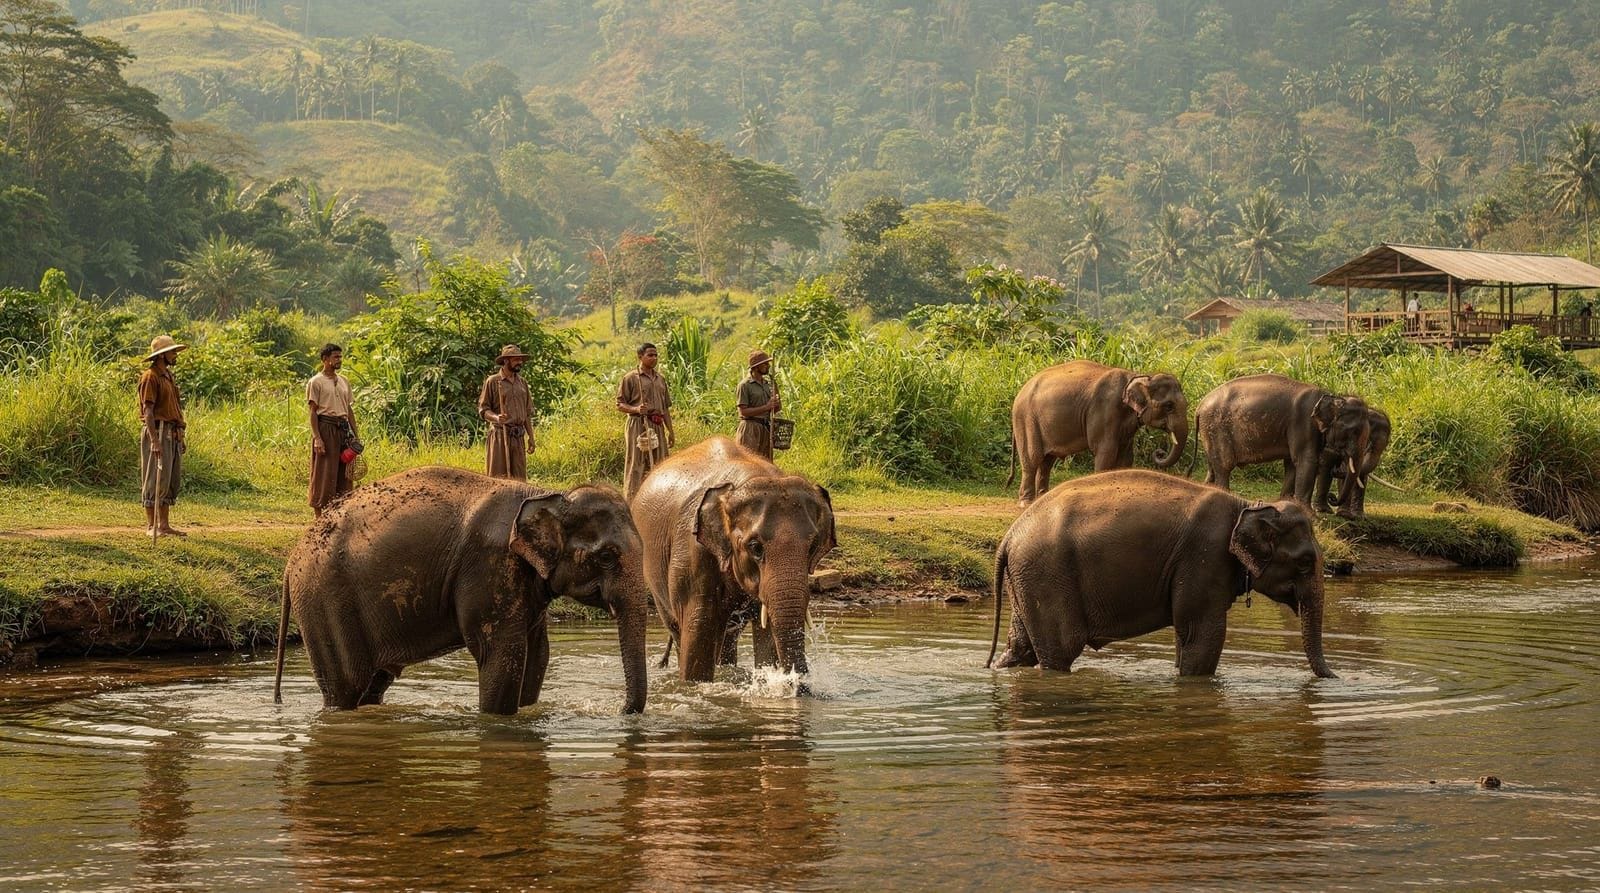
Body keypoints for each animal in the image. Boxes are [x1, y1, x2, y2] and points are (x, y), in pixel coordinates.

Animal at [272, 466, 649, 715]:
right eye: (607, 556)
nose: (621, 711)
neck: (549, 495)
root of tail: (292, 560)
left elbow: (538, 654)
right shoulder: (489, 566)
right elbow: (502, 653)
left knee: (374, 684)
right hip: (325, 603)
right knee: (347, 686)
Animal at [632, 436, 835, 683]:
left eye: (812, 547)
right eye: (755, 547)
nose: (798, 683)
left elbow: (767, 634)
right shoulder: (692, 551)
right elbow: (698, 636)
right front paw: (693, 685)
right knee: (679, 631)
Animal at [988, 469, 1335, 679]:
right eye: (1305, 562)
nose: (1336, 679)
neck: (1249, 505)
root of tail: (1010, 535)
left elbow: (1188, 636)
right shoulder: (1204, 557)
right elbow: (1201, 636)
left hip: (1027, 579)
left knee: (1021, 647)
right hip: (1048, 575)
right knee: (1060, 649)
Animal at [1008, 360, 1189, 506]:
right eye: (1169, 406)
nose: (1159, 452)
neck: (1138, 376)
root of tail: (1020, 392)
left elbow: (1125, 457)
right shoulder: (1104, 410)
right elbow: (1106, 452)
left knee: (1047, 462)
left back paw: (1042, 498)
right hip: (1026, 420)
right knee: (1032, 459)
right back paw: (1026, 503)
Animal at [1196, 373, 1371, 508]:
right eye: (1353, 432)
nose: (1332, 497)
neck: (1332, 396)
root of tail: (1200, 405)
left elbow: (1292, 463)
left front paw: (1285, 502)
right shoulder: (1304, 423)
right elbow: (1306, 461)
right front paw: (1309, 513)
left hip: (1209, 432)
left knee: (1212, 467)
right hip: (1216, 428)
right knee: (1224, 466)